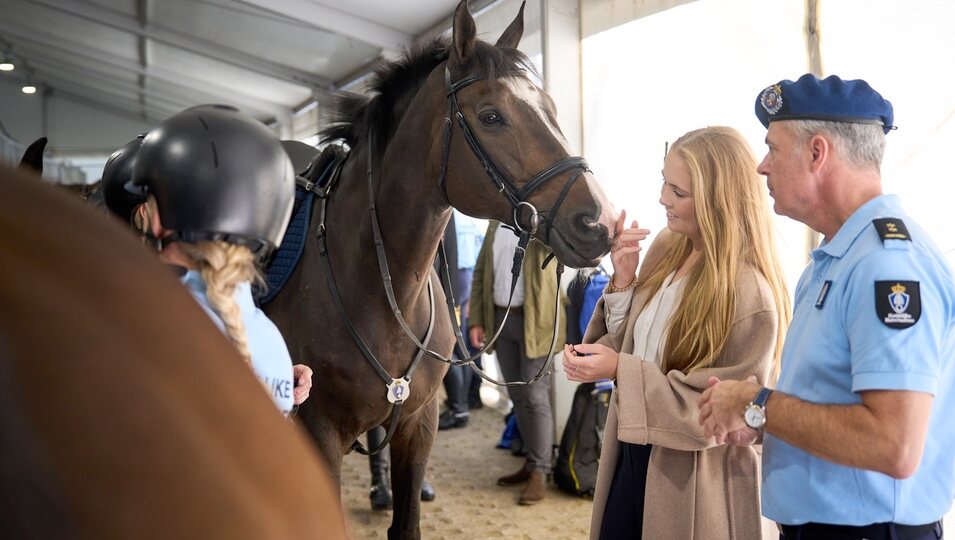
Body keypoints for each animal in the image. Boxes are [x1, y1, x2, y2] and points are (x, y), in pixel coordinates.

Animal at [266, 2, 616, 536]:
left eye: (551, 111)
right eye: (491, 117)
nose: (599, 222)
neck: (379, 283)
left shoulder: (417, 422)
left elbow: (407, 521)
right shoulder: (318, 432)